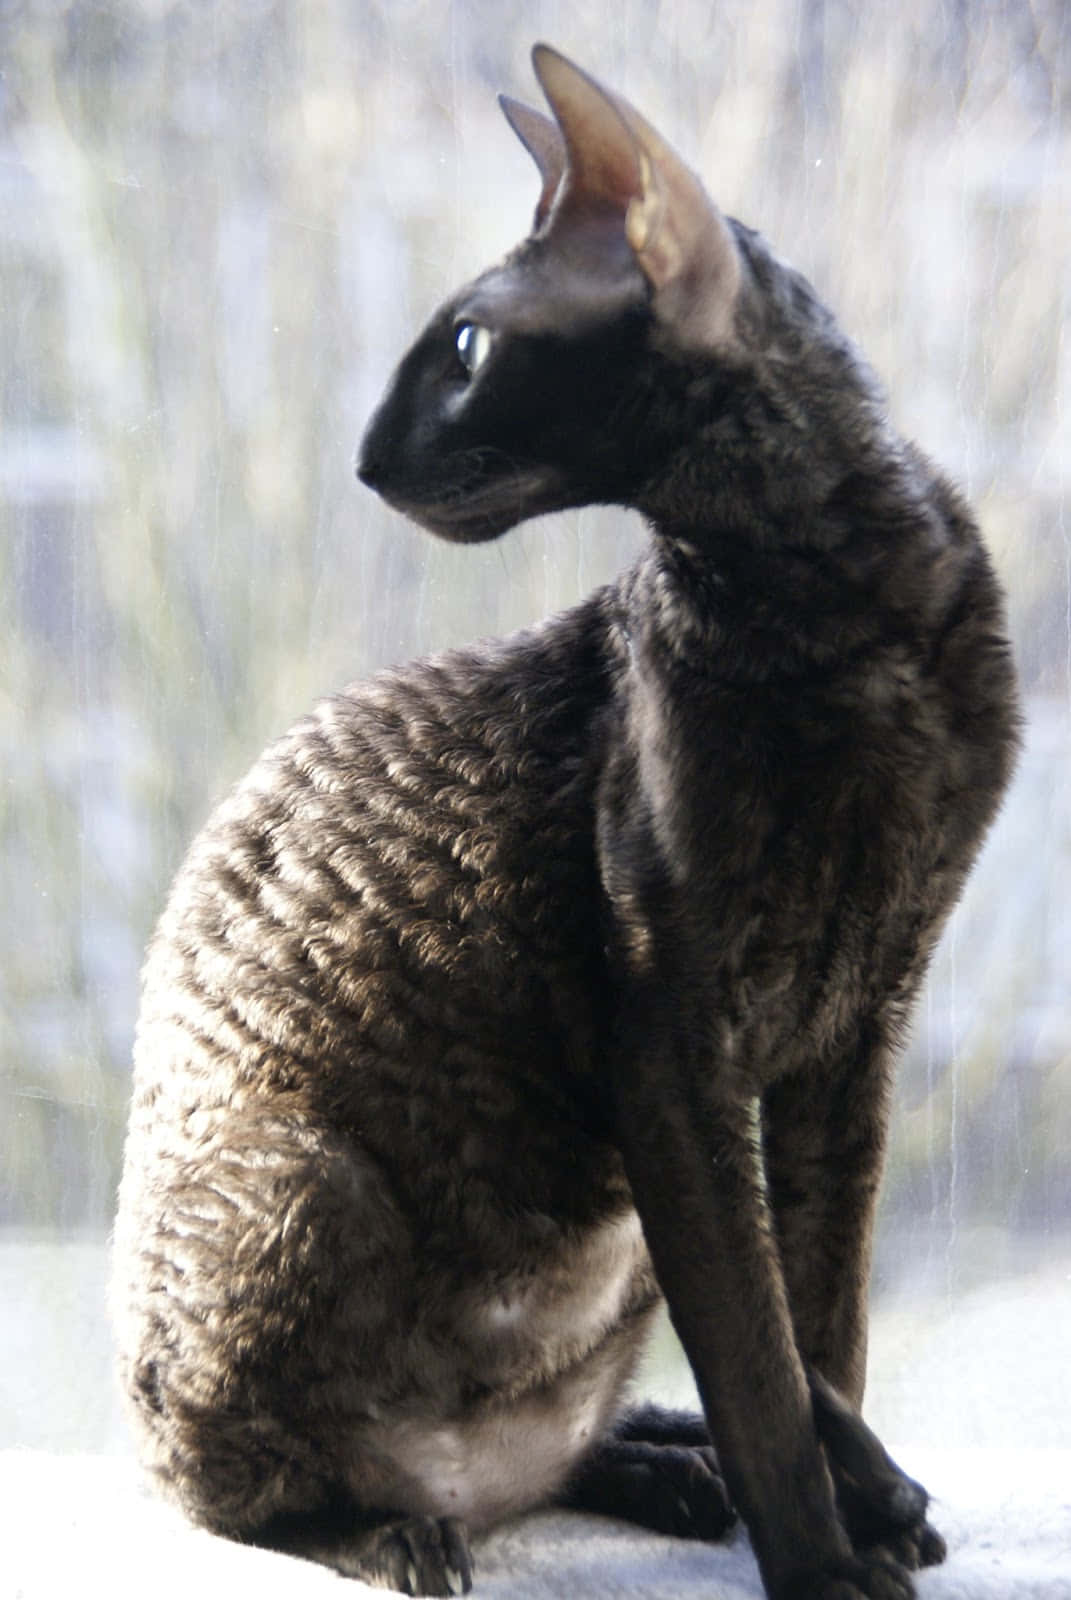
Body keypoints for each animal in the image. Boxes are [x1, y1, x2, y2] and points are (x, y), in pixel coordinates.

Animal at [110, 37, 1018, 1600]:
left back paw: (658, 1460)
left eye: (468, 350)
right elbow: (760, 1353)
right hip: (308, 1172)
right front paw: (821, 1556)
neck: (841, 605)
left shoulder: (858, 1031)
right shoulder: (671, 1043)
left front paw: (858, 1506)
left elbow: (820, 1326)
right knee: (234, 1488)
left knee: (557, 1445)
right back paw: (401, 1526)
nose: (361, 458)